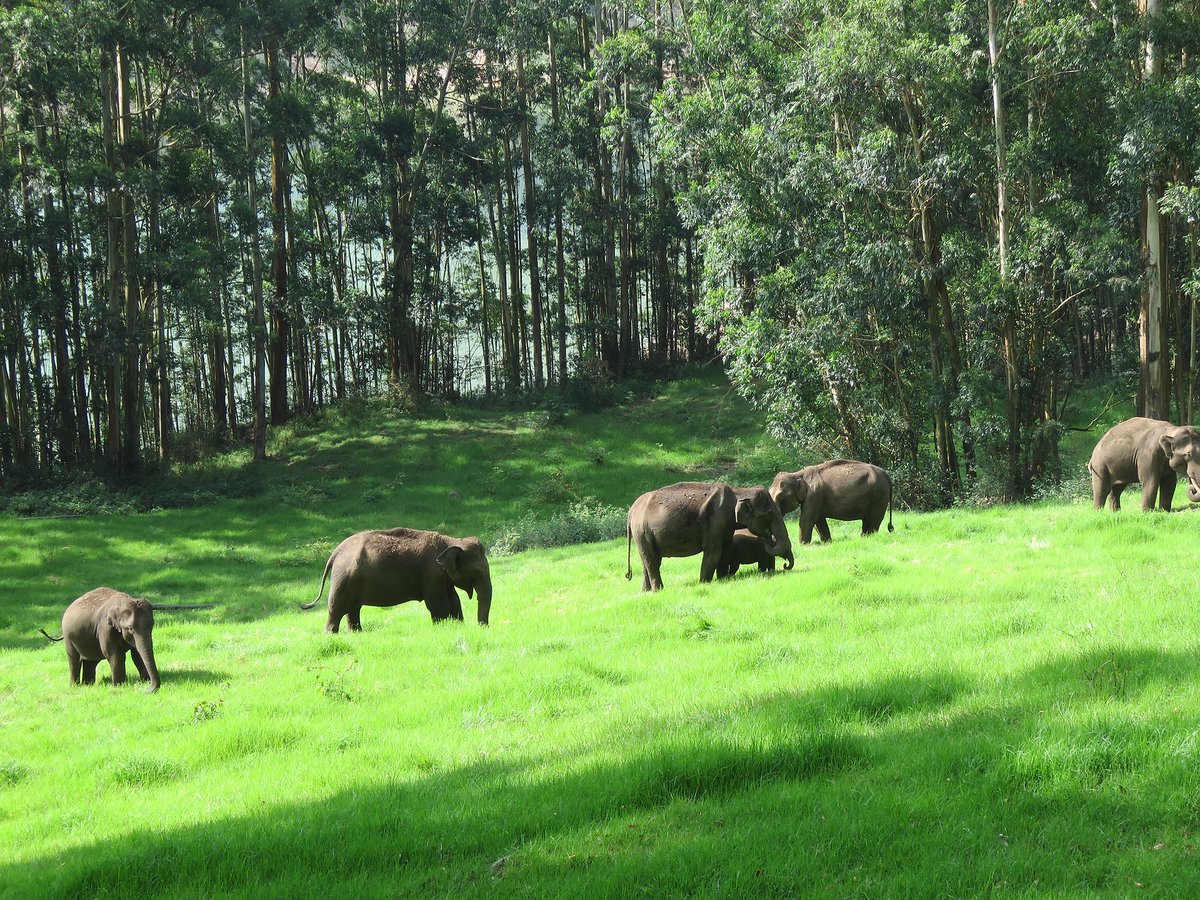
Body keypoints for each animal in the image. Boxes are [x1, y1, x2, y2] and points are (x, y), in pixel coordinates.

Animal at [300, 527, 492, 632]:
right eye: (477, 571)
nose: (482, 628)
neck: (451, 541)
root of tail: (336, 551)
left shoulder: (441, 576)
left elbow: (454, 601)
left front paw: (457, 626)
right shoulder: (431, 573)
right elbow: (439, 604)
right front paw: (443, 628)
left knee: (353, 608)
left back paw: (357, 634)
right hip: (344, 577)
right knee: (337, 608)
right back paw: (330, 634)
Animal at [625, 481, 794, 591]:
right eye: (769, 514)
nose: (768, 535)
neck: (739, 491)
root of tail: (631, 511)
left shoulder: (726, 526)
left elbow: (725, 551)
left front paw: (724, 579)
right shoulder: (715, 519)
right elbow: (713, 551)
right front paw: (704, 583)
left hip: (643, 534)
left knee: (647, 560)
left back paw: (646, 592)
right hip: (642, 531)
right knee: (652, 560)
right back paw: (659, 590)